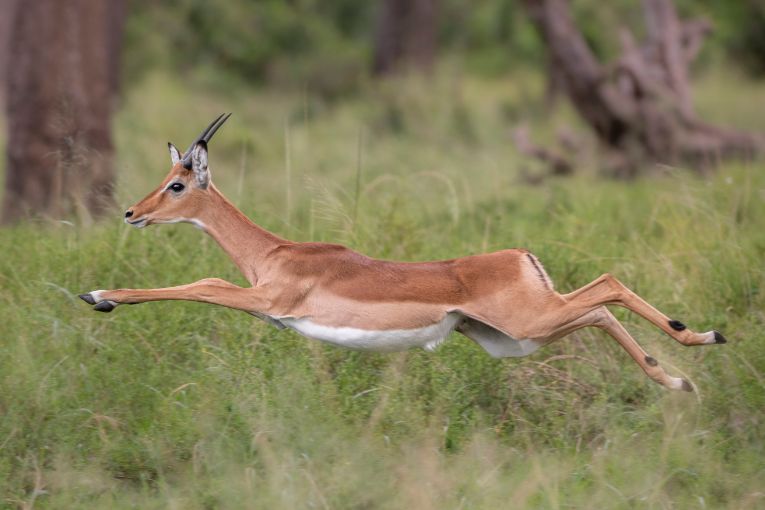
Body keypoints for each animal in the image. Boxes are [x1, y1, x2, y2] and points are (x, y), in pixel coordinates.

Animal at [80, 114, 727, 392]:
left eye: (177, 184)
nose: (131, 213)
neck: (276, 253)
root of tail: (520, 256)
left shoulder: (267, 300)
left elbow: (203, 286)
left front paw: (98, 294)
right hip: (513, 339)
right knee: (597, 308)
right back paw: (677, 377)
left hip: (529, 322)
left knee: (607, 287)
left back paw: (698, 340)